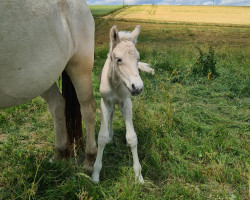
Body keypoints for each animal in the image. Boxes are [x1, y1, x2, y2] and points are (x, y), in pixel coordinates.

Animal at [0, 0, 97, 170]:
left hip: (80, 65)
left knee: (88, 108)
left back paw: (90, 159)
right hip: (40, 76)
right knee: (57, 105)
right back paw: (60, 153)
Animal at [93, 24, 153, 183]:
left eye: (138, 59)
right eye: (118, 59)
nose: (138, 87)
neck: (115, 84)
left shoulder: (126, 103)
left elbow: (132, 137)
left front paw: (138, 175)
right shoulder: (105, 103)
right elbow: (101, 137)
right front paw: (95, 175)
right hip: (111, 104)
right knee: (112, 115)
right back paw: (110, 136)